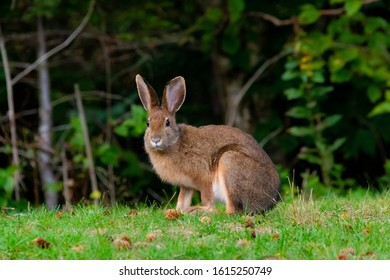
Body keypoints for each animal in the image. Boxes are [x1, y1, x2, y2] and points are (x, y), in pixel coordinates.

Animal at [136, 74, 278, 214]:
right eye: (148, 123)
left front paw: (197, 210)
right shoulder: (186, 185)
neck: (175, 141)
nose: (155, 140)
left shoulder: (203, 177)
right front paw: (177, 211)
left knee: (232, 211)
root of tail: (269, 201)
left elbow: (206, 198)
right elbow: (182, 199)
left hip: (230, 163)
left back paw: (198, 210)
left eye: (167, 123)